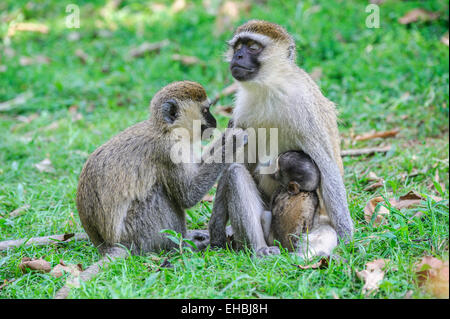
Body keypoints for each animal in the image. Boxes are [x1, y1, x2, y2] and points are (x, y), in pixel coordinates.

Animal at [209, 20, 354, 258]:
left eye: (253, 47)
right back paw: (260, 249)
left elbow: (327, 166)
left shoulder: (304, 106)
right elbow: (235, 161)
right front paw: (215, 231)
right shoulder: (242, 111)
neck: (268, 87)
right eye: (238, 46)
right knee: (236, 174)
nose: (237, 56)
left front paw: (348, 239)